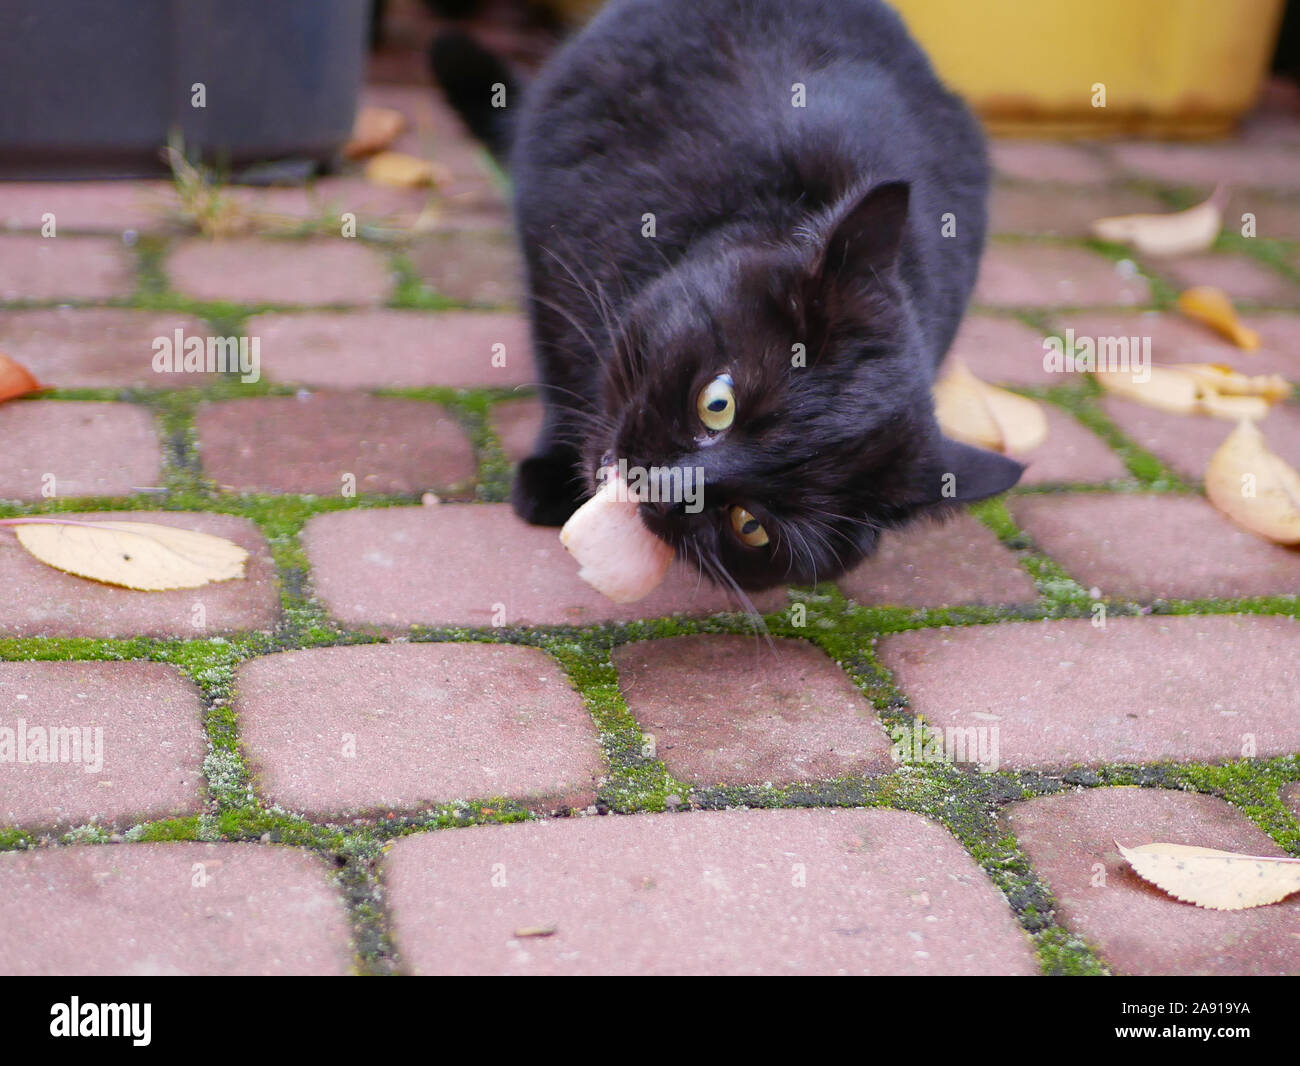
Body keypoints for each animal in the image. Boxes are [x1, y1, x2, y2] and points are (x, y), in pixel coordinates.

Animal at [431, 0, 1019, 590]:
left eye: (751, 526)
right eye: (718, 403)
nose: (658, 486)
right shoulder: (553, 242)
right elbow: (558, 362)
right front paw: (552, 470)